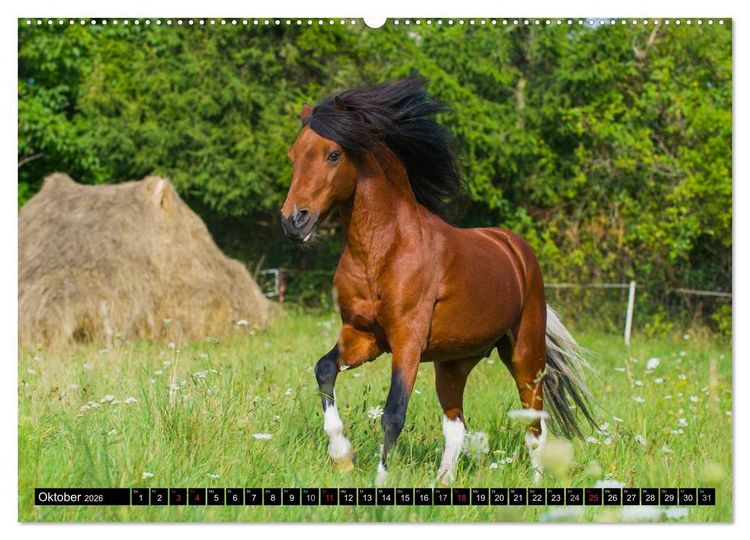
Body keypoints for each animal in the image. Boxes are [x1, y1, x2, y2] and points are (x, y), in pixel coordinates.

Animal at [280, 76, 596, 485]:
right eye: (293, 156)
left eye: (333, 155)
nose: (294, 221)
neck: (383, 250)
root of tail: (516, 249)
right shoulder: (363, 336)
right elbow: (324, 369)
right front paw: (342, 455)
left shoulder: (408, 340)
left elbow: (393, 413)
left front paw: (378, 481)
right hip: (454, 363)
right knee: (456, 426)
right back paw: (443, 481)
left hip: (525, 354)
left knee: (534, 425)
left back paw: (536, 481)